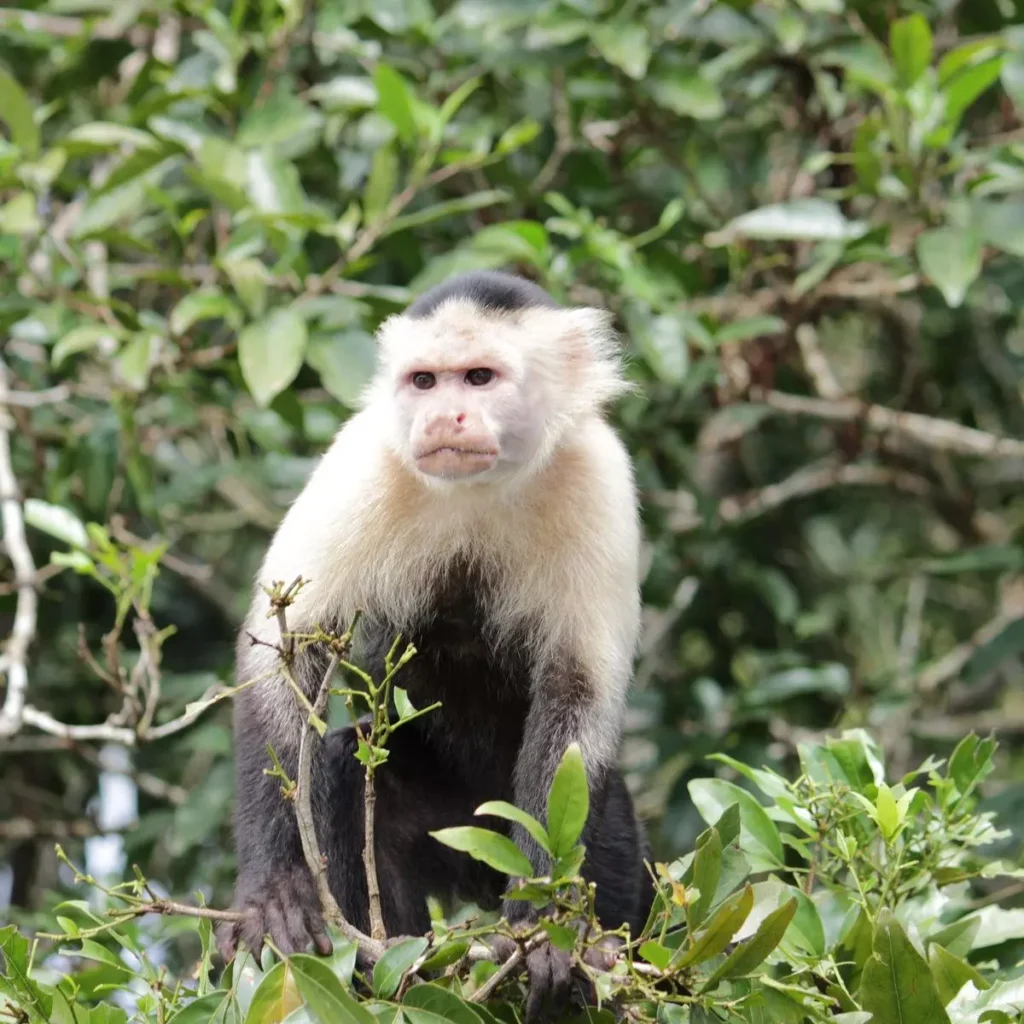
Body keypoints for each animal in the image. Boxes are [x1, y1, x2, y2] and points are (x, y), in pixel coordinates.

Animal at [217, 270, 653, 1017]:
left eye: (478, 377)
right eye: (424, 381)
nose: (444, 416)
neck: (484, 487)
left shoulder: (598, 476)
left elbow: (578, 693)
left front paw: (544, 930)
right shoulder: (364, 461)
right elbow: (282, 653)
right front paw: (272, 892)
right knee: (349, 770)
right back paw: (385, 969)